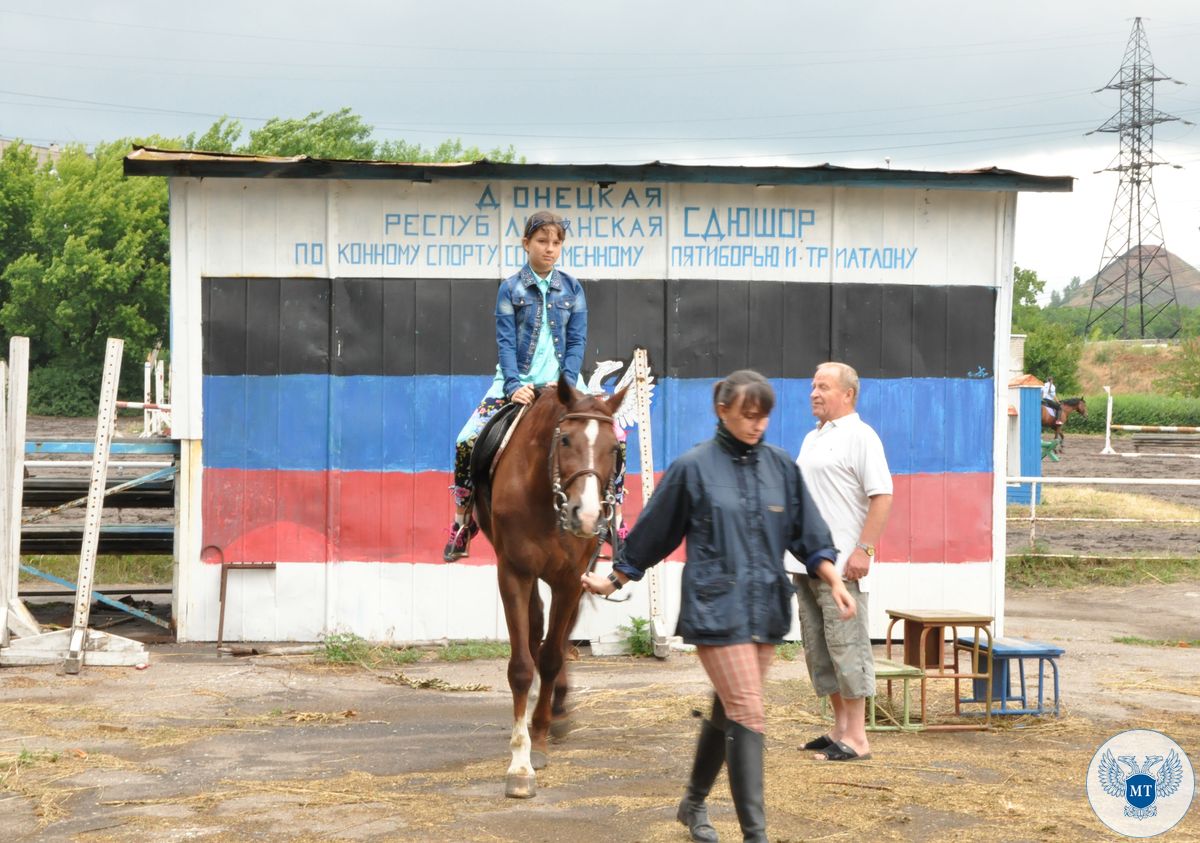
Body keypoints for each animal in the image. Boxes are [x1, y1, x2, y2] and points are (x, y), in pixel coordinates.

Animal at [472, 377, 628, 797]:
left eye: (614, 449)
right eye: (566, 440)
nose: (586, 515)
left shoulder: (570, 578)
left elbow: (553, 656)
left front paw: (540, 739)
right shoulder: (513, 572)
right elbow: (522, 666)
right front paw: (520, 765)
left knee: (558, 636)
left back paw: (557, 707)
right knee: (536, 626)